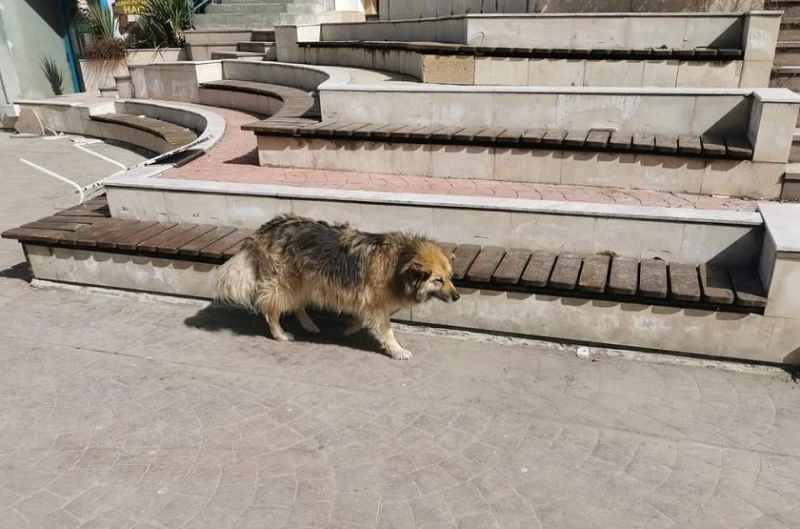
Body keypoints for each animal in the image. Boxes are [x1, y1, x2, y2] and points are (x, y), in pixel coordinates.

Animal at [212, 214, 460, 358]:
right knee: (270, 308)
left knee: (297, 305)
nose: (457, 297)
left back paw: (310, 325)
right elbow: (387, 331)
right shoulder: (377, 306)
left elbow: (360, 319)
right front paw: (397, 350)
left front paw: (348, 329)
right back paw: (280, 333)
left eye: (450, 277)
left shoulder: (367, 301)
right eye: (438, 280)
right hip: (284, 283)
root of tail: (266, 228)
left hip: (304, 281)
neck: (400, 261)